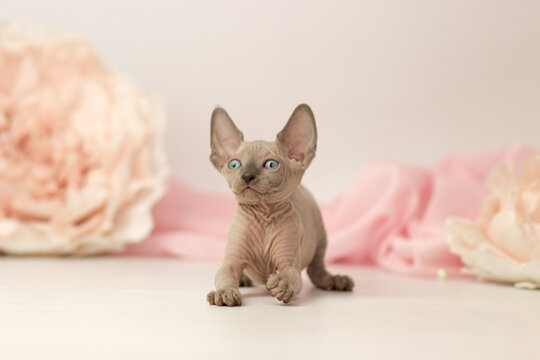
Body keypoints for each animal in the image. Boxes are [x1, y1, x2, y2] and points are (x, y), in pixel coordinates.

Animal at [207, 102, 354, 306]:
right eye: (234, 164)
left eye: (270, 165)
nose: (247, 176)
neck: (262, 217)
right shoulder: (231, 262)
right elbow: (225, 275)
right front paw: (224, 292)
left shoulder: (289, 262)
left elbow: (291, 275)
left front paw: (282, 283)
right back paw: (243, 279)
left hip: (321, 239)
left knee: (316, 270)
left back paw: (335, 280)